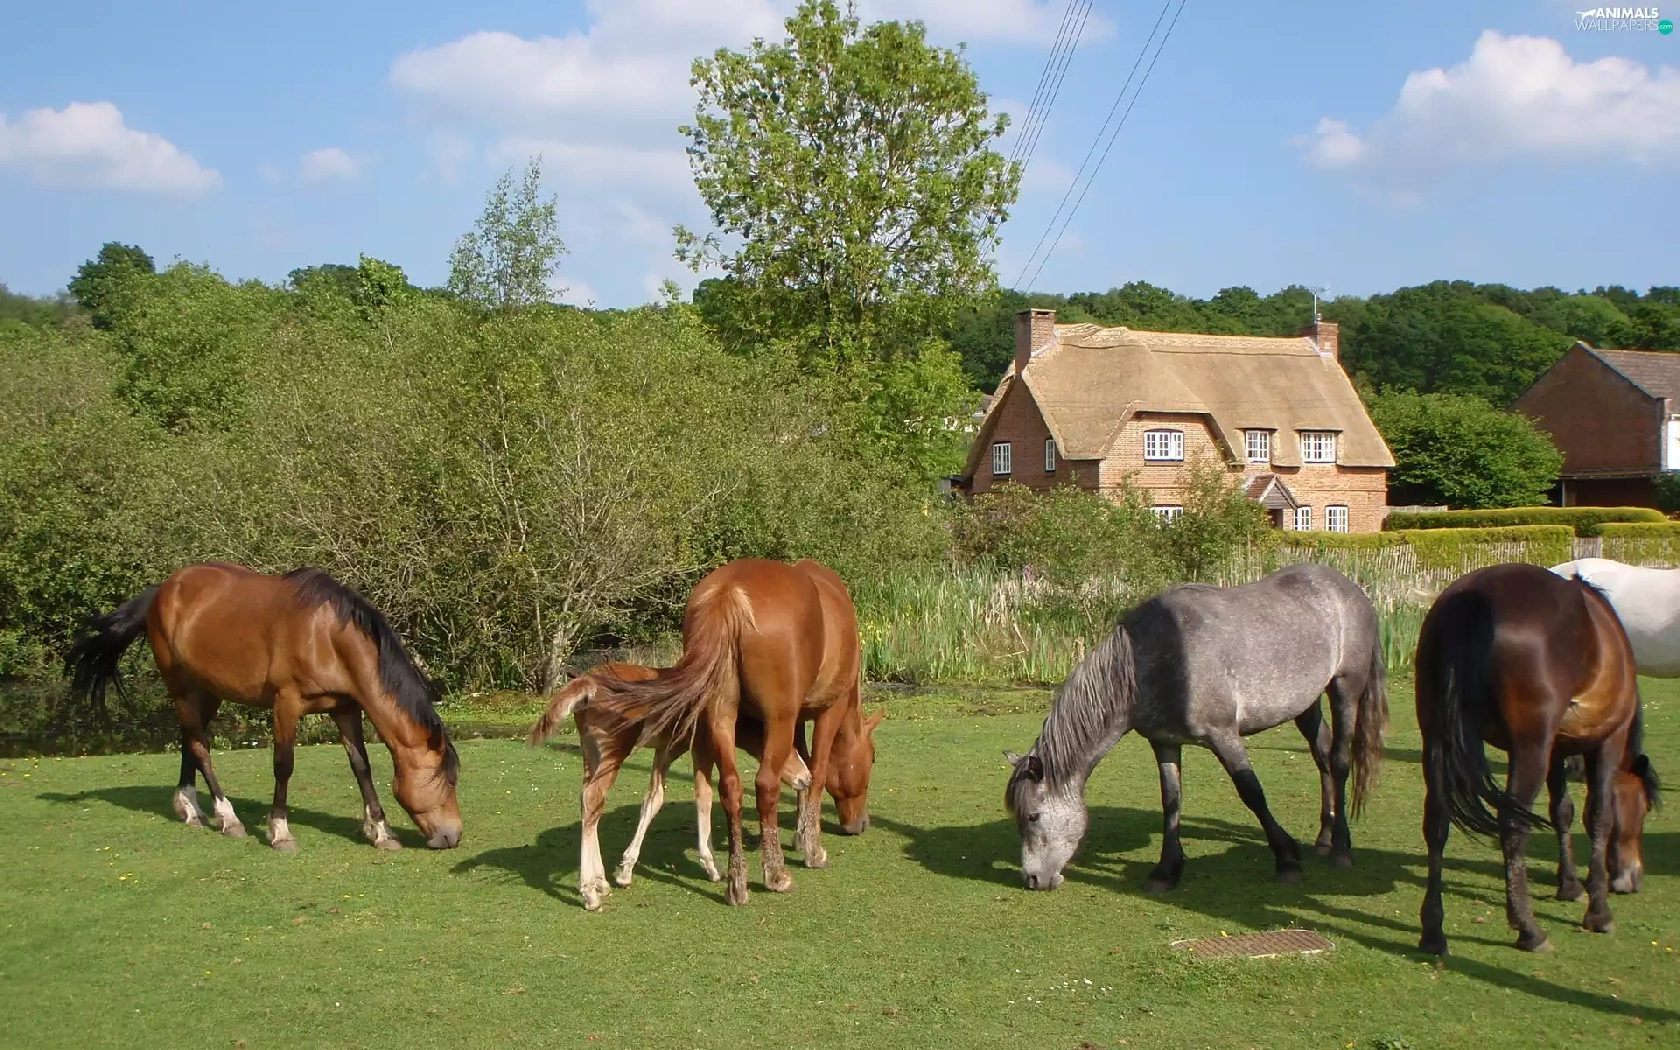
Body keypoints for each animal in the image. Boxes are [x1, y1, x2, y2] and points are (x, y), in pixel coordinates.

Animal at [65, 561, 462, 851]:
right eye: (448, 780)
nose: (453, 836)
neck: (326, 635)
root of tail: (162, 591)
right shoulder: (286, 704)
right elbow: (283, 766)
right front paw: (279, 831)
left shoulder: (345, 708)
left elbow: (361, 767)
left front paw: (380, 831)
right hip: (181, 689)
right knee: (200, 747)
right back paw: (228, 818)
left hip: (207, 692)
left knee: (189, 742)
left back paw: (190, 809)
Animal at [529, 661, 853, 911]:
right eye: (788, 749)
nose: (806, 778)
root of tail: (586, 683)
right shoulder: (701, 750)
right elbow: (704, 796)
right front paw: (712, 867)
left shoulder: (667, 750)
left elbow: (653, 800)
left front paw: (625, 870)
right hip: (613, 752)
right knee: (592, 799)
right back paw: (589, 892)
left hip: (591, 755)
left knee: (590, 805)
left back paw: (600, 882)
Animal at [581, 558, 876, 906]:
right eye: (872, 759)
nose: (860, 824)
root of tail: (728, 593)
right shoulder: (828, 709)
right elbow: (815, 773)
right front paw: (812, 848)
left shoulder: (796, 720)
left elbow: (801, 768)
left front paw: (800, 835)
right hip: (777, 718)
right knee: (764, 785)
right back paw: (776, 874)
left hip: (720, 715)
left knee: (730, 787)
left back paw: (737, 881)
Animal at [1004, 563, 1387, 893]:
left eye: (1034, 816)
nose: (1033, 879)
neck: (1152, 661)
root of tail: (1350, 588)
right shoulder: (1165, 742)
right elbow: (1171, 801)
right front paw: (1166, 871)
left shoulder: (1224, 735)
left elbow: (1252, 793)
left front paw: (1287, 860)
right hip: (1306, 704)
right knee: (1322, 755)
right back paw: (1323, 838)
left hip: (1345, 688)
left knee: (1339, 760)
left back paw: (1340, 849)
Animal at [1415, 562, 1660, 955]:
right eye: (1644, 807)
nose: (1633, 877)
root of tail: (1473, 597)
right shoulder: (1607, 741)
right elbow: (1600, 817)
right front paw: (1598, 910)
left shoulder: (1556, 749)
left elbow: (1562, 811)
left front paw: (1570, 885)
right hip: (1530, 747)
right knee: (1513, 826)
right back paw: (1529, 929)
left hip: (1437, 739)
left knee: (1437, 823)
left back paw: (1434, 931)